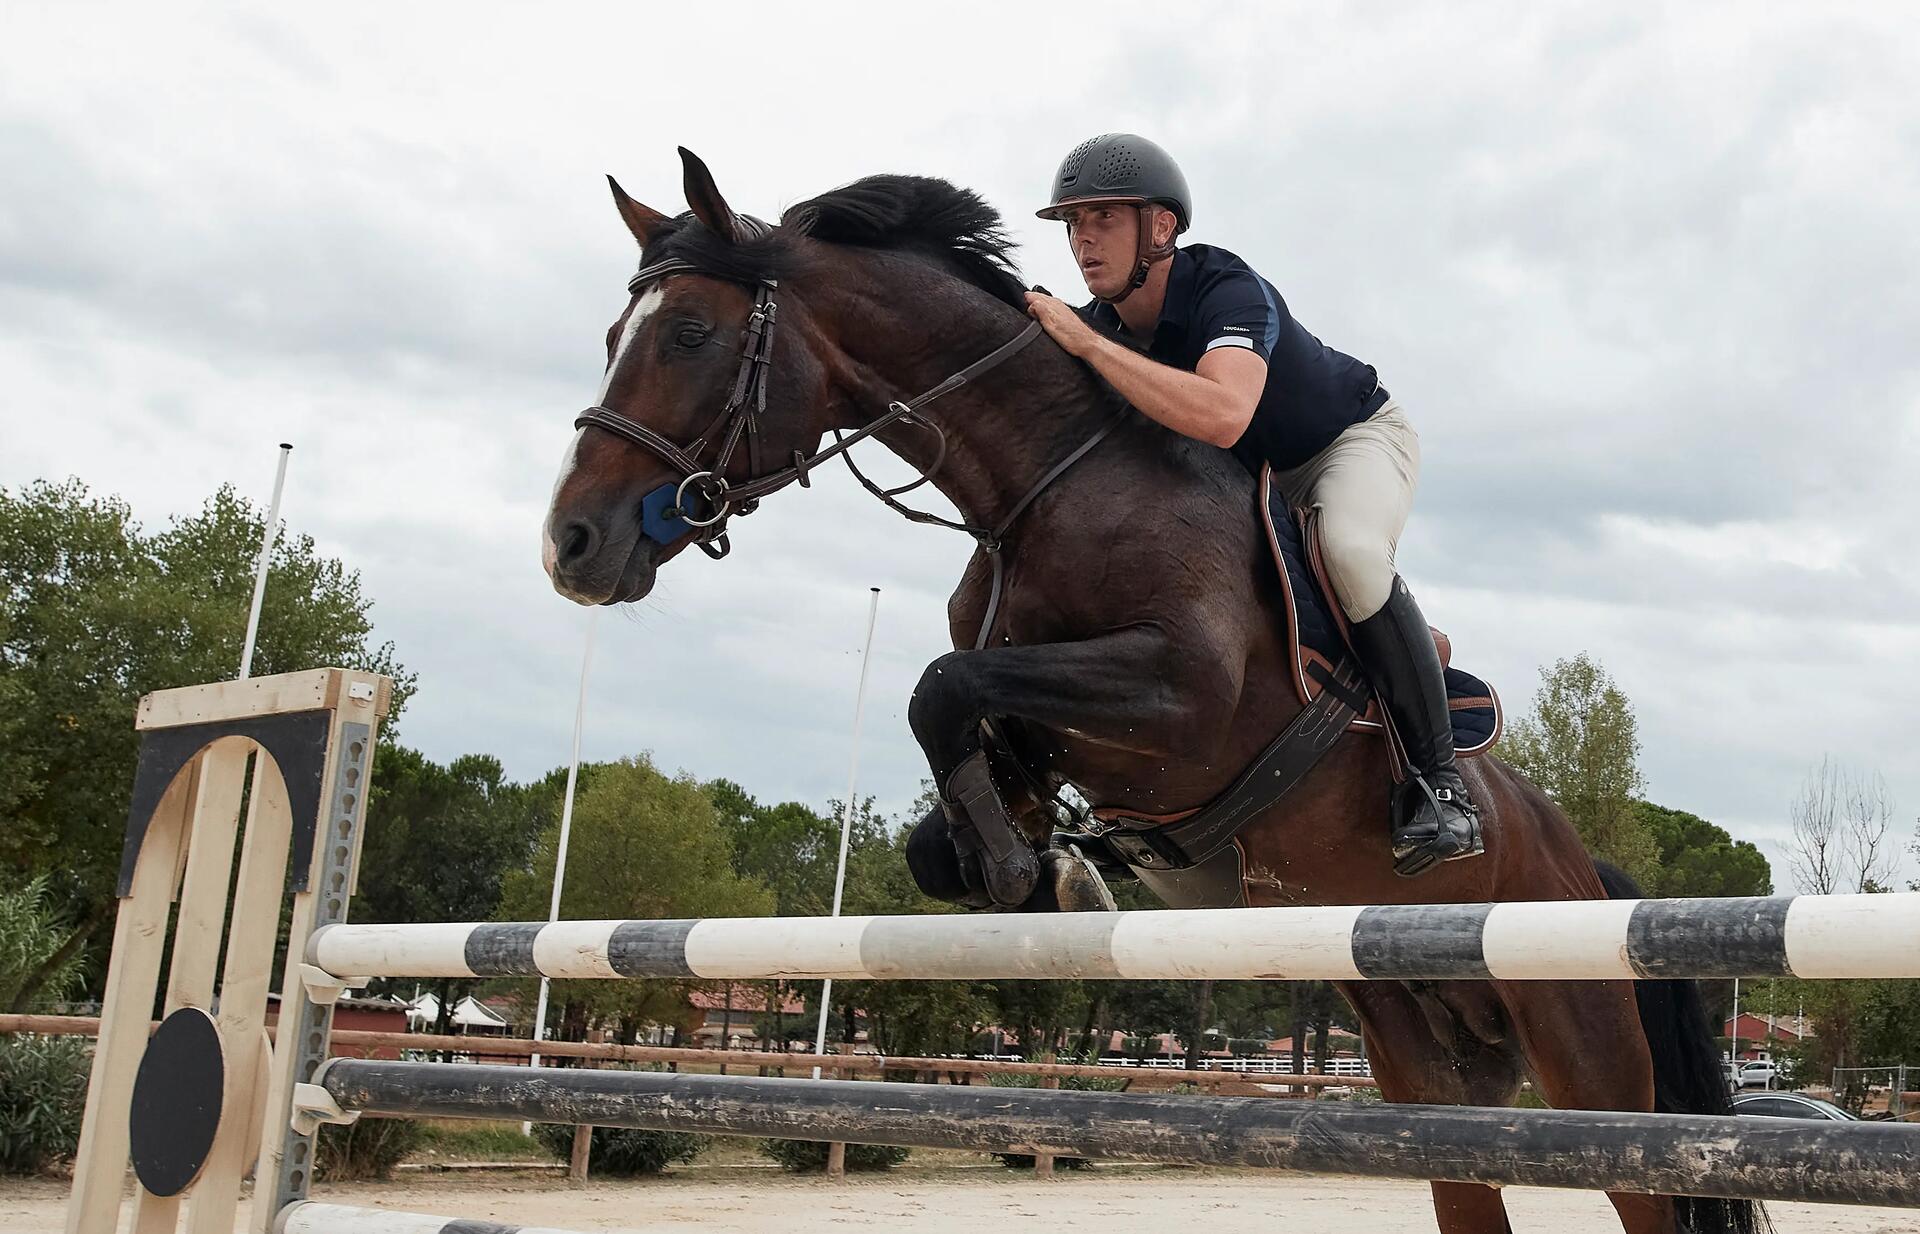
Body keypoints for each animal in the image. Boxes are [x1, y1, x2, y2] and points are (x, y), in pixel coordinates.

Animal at [541, 151, 1758, 1234]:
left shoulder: (1183, 698)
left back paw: (1439, 812)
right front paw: (1037, 867)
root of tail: (1584, 867)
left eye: (692, 335)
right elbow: (959, 749)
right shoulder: (1053, 720)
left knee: (1644, 1187)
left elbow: (940, 685)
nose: (573, 545)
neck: (1043, 485)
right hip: (1422, 1057)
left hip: (1587, 1057)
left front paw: (1027, 869)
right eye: (609, 340)